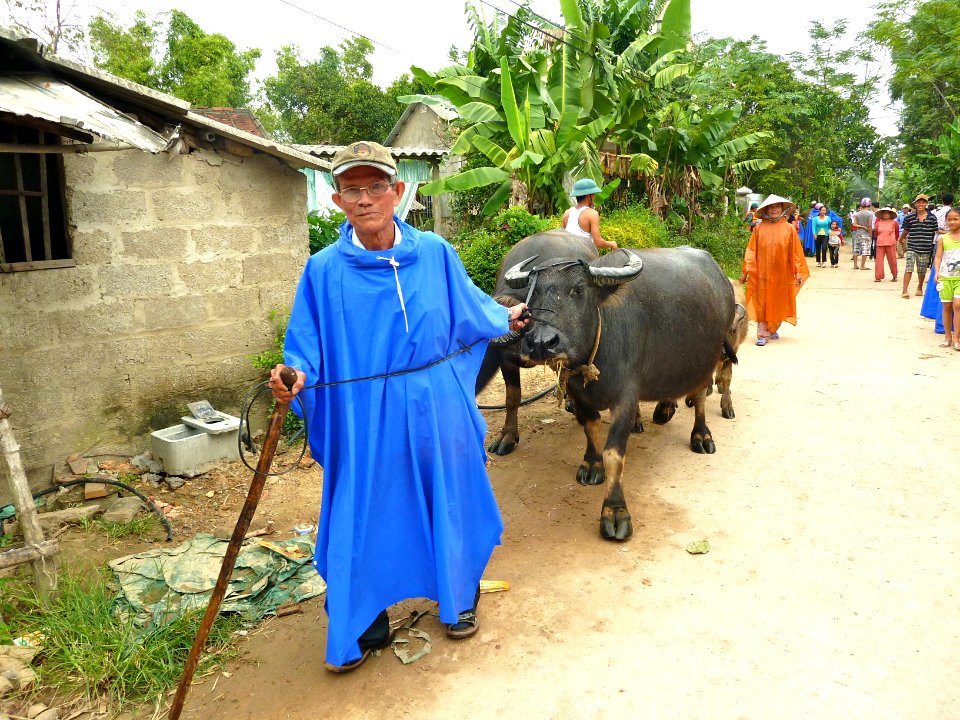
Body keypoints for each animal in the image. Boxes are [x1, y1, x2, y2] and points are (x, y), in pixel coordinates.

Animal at [506, 246, 740, 540]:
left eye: (579, 289)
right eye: (533, 293)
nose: (541, 342)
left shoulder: (625, 398)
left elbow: (614, 455)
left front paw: (615, 512)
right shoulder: (577, 394)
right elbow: (590, 429)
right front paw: (592, 464)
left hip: (707, 359)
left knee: (699, 397)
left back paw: (701, 436)